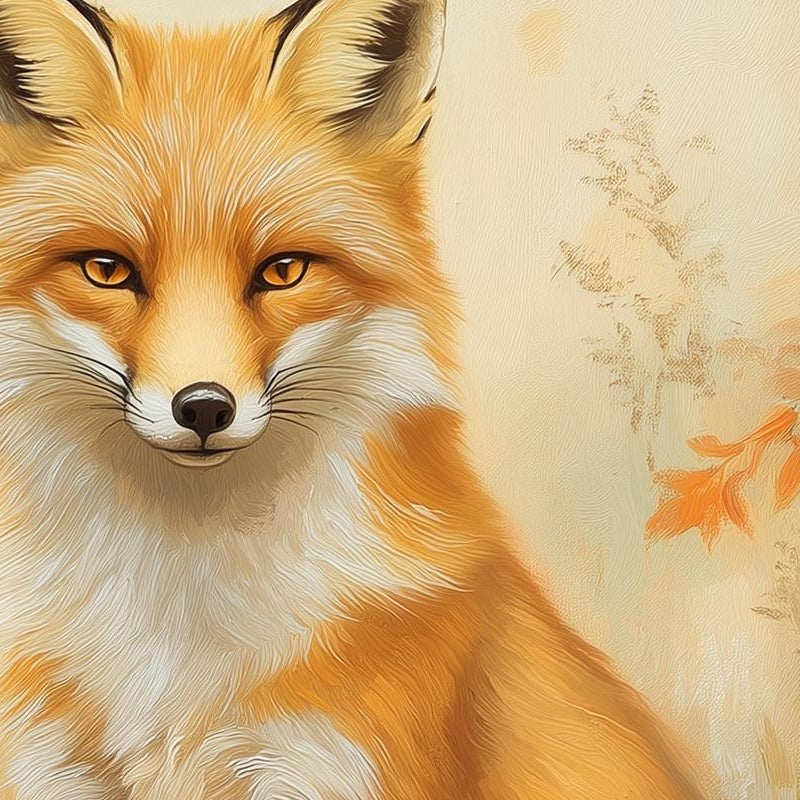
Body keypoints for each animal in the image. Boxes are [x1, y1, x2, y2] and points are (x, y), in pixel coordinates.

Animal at [0, 0, 712, 797]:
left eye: (283, 271)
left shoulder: (338, 759)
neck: (175, 627)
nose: (205, 409)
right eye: (106, 269)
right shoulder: (51, 759)